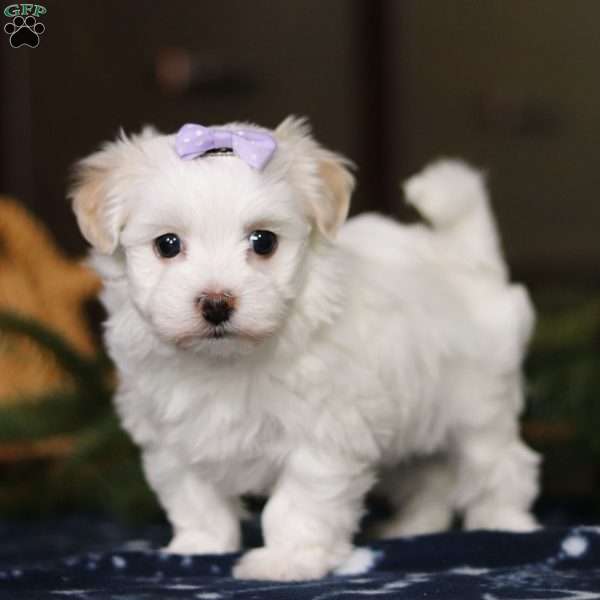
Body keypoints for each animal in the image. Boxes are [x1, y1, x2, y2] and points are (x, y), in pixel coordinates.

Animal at [69, 117, 540, 580]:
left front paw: (287, 560)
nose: (217, 303)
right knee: (429, 476)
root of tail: (465, 256)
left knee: (500, 467)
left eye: (263, 241)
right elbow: (194, 498)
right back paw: (414, 527)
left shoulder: (322, 437)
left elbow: (297, 505)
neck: (226, 362)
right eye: (167, 244)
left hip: (480, 407)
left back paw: (504, 525)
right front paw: (197, 548)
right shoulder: (172, 437)